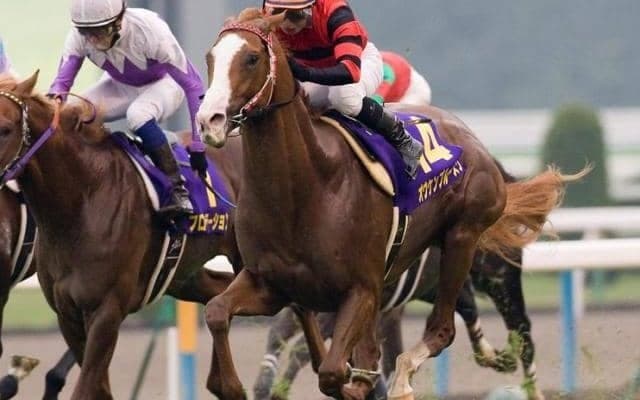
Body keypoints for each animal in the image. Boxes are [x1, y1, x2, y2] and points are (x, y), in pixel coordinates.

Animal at [0, 72, 243, 400]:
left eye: (5, 129)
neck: (82, 201)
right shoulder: (67, 314)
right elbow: (99, 388)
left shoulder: (106, 310)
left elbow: (87, 387)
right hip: (181, 273)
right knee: (219, 293)